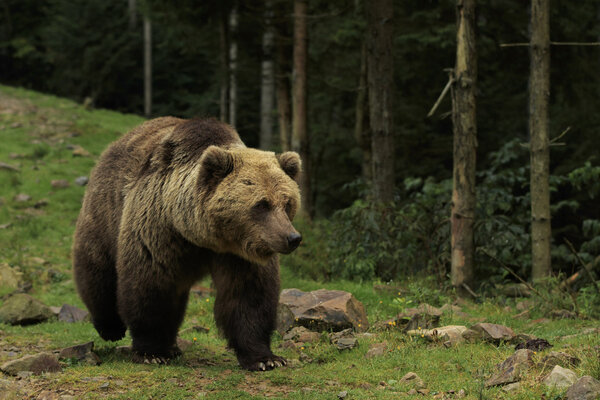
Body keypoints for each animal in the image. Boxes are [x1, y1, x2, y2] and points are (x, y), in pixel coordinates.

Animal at [72, 117, 302, 370]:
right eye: (262, 204)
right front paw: (152, 352)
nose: (292, 238)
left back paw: (172, 346)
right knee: (97, 270)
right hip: (105, 211)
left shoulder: (240, 253)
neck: (201, 235)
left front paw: (265, 359)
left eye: (287, 202)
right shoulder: (158, 230)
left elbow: (249, 295)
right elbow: (150, 285)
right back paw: (111, 328)